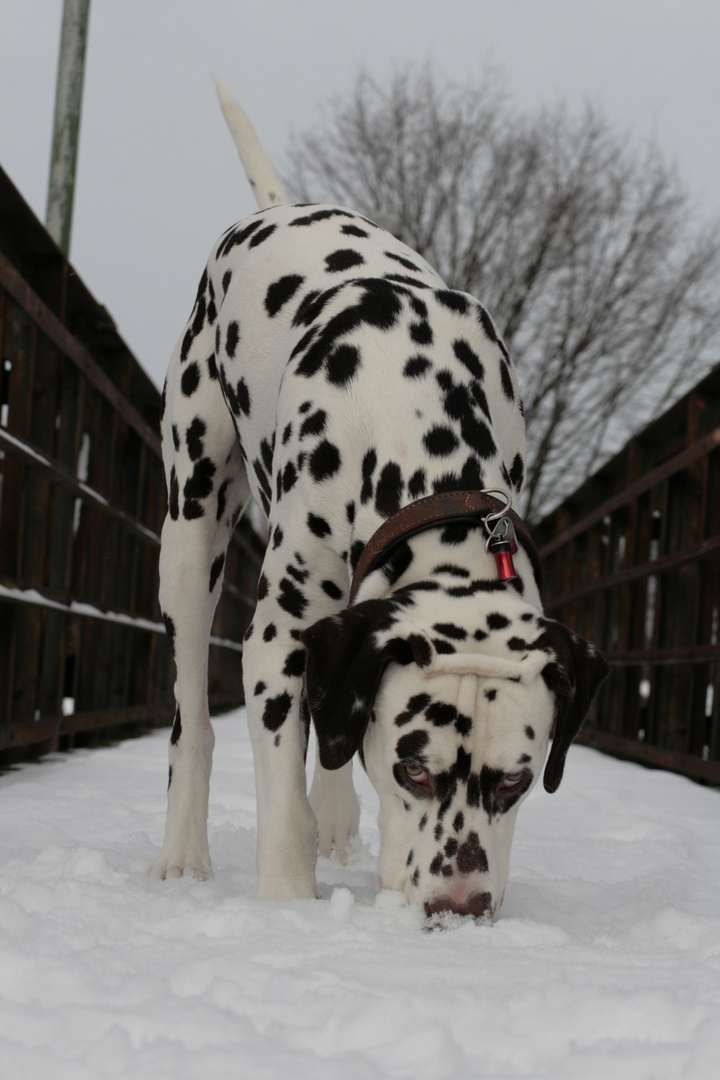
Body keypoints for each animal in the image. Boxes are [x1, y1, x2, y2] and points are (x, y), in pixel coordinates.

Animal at [153, 92, 608, 920]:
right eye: (413, 769)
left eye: (518, 778)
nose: (459, 906)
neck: (407, 413)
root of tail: (278, 209)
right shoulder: (276, 639)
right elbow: (283, 800)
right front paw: (287, 901)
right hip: (190, 534)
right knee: (191, 719)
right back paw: (182, 854)